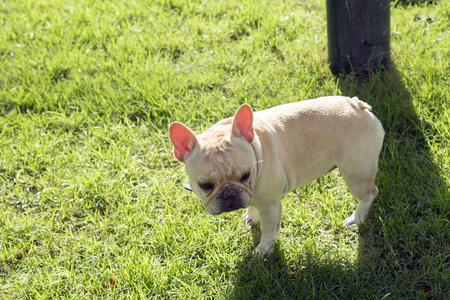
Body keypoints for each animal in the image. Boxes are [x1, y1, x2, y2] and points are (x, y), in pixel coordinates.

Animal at [169, 96, 384, 255]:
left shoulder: (270, 207)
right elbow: (251, 205)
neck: (256, 151)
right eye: (205, 185)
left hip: (356, 173)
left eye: (245, 175)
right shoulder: (252, 195)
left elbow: (269, 230)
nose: (229, 193)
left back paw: (357, 218)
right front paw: (250, 216)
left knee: (369, 193)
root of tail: (357, 105)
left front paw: (264, 250)